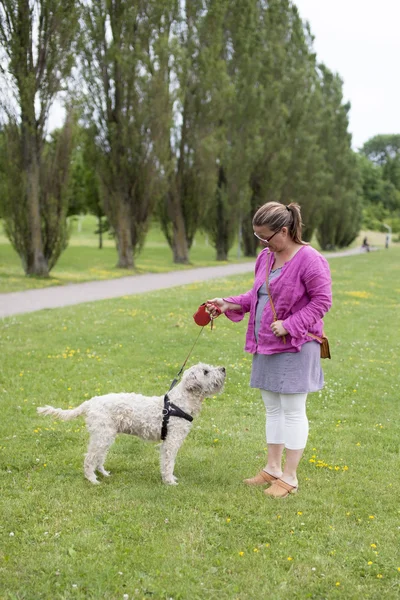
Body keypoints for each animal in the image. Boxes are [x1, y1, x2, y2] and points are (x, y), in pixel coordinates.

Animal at [37, 364, 225, 486]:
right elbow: (168, 463)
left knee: (98, 458)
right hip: (102, 435)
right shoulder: (171, 441)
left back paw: (104, 473)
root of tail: (90, 402)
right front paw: (169, 481)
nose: (223, 369)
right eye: (206, 371)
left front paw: (169, 479)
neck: (180, 402)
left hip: (105, 436)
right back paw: (92, 479)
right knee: (89, 459)